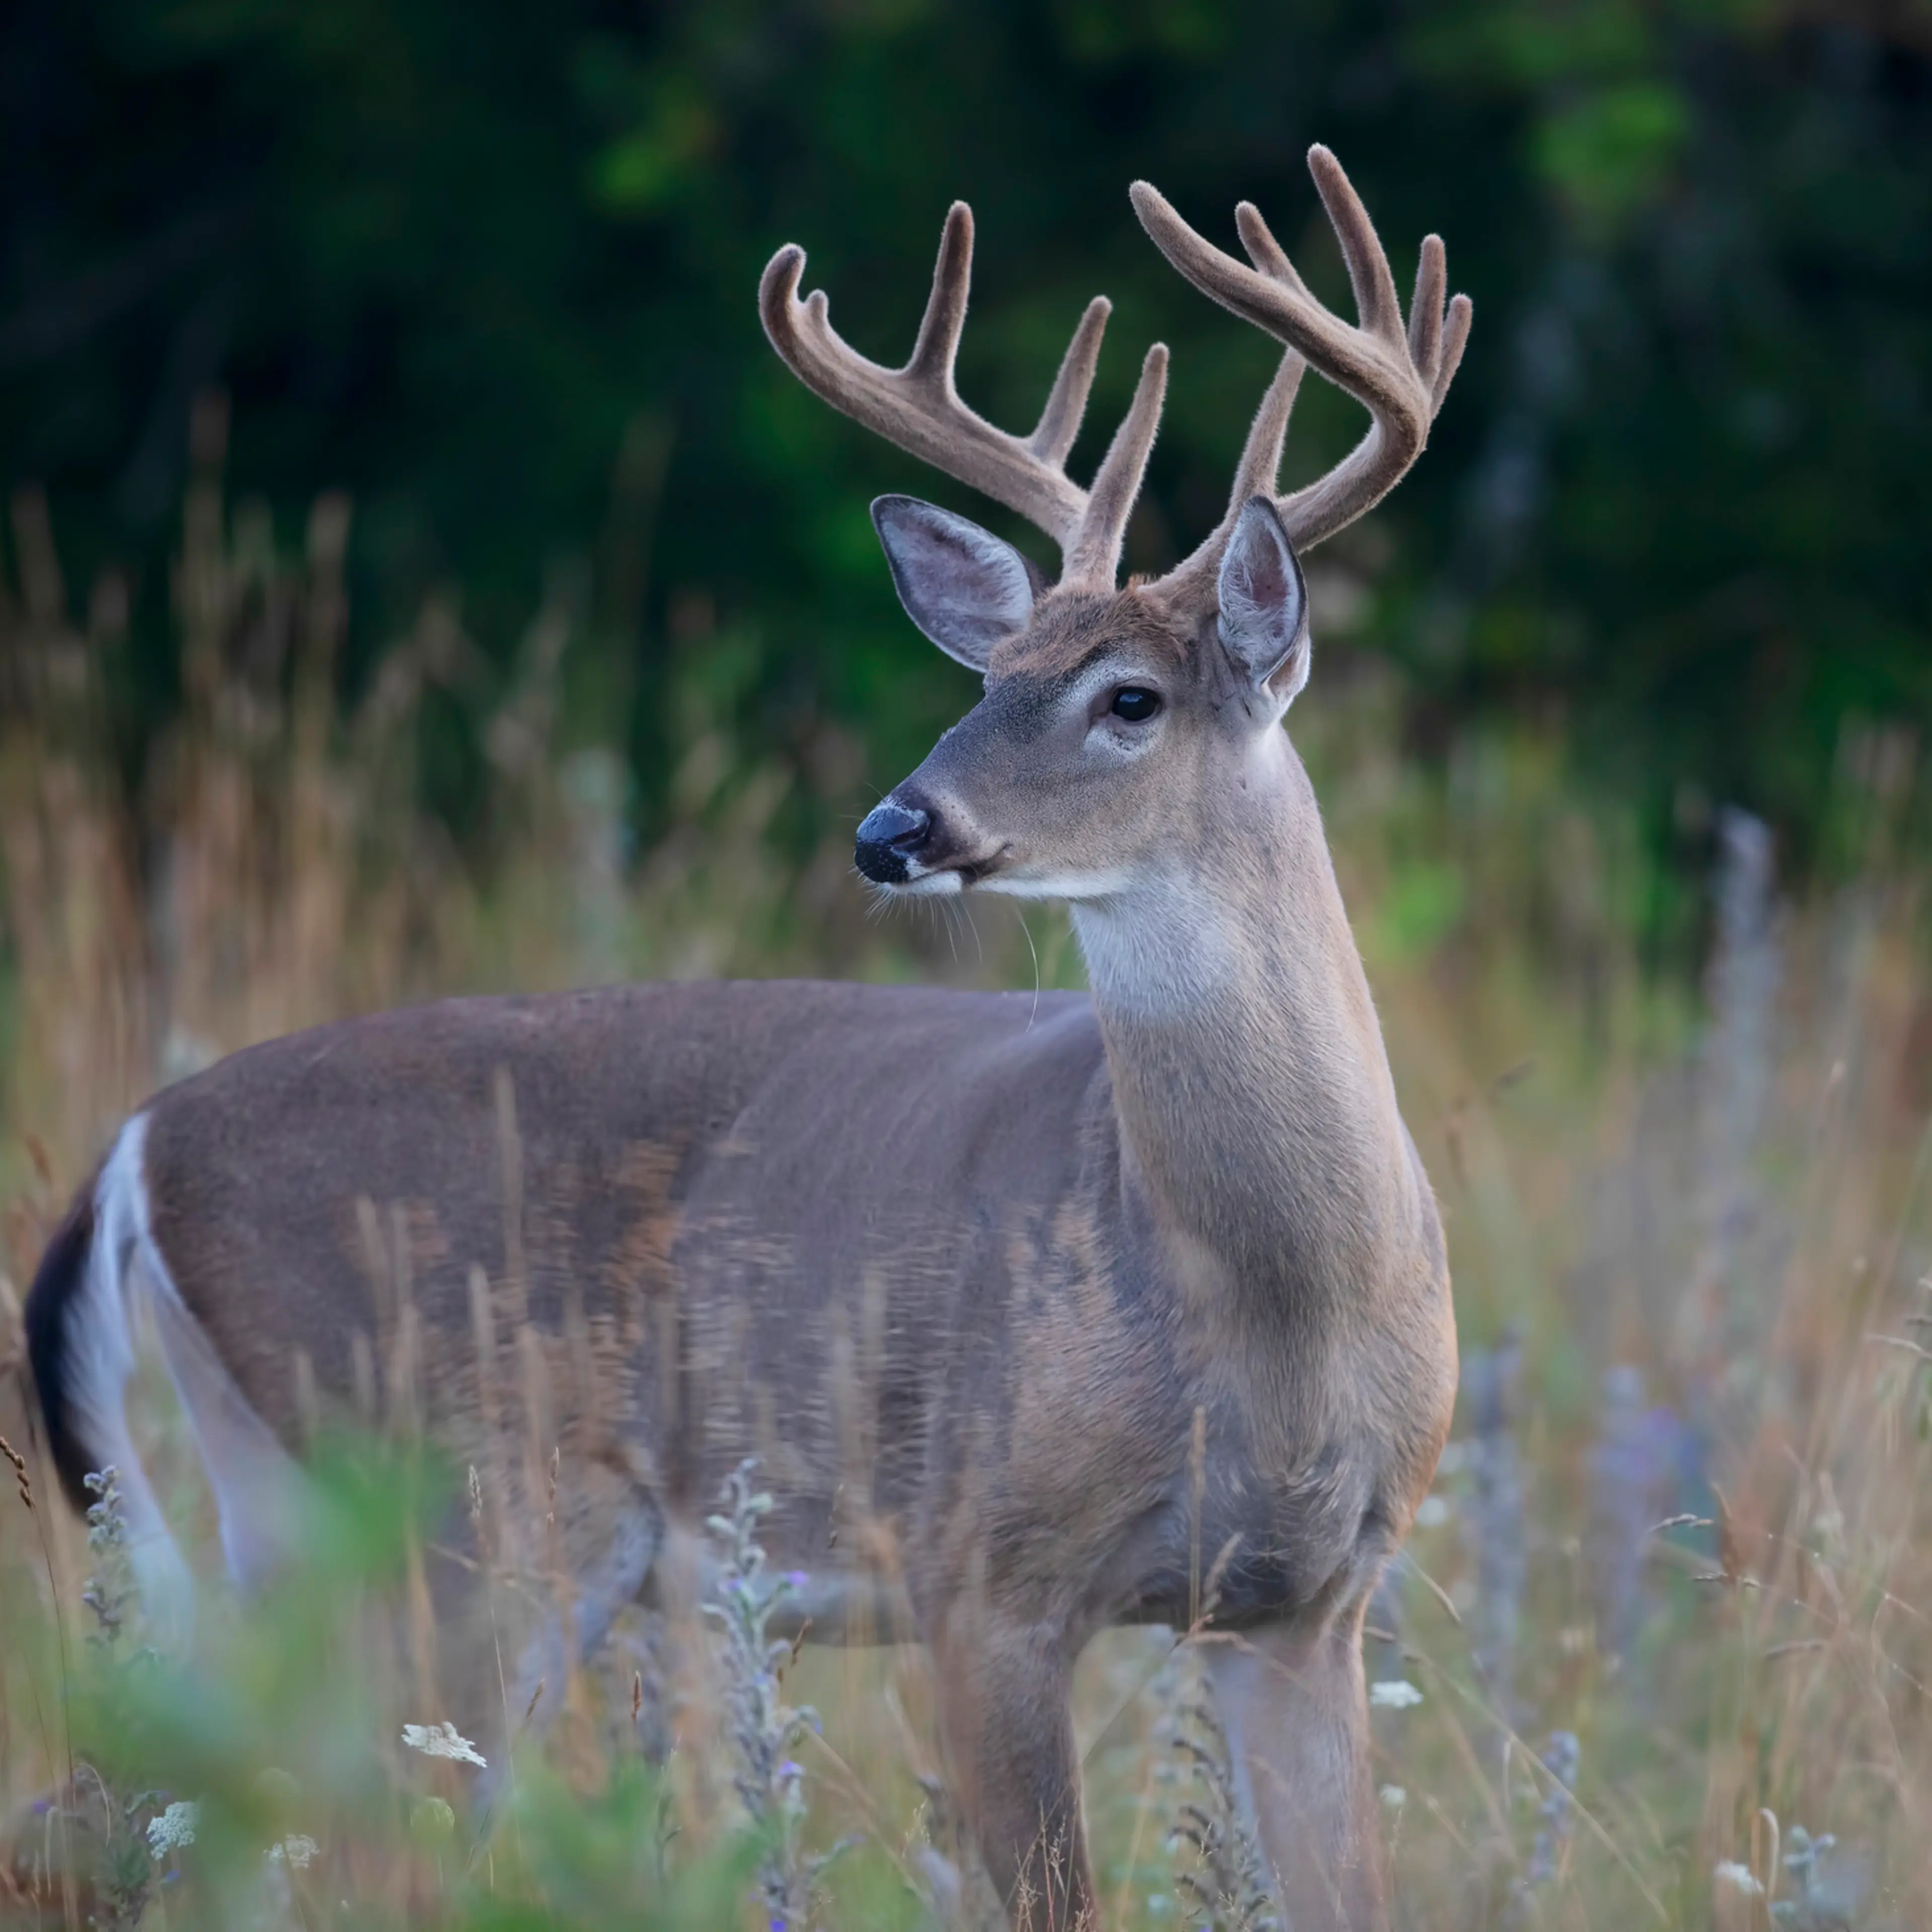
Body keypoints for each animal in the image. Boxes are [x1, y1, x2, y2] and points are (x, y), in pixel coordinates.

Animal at [23, 145, 1468, 1929]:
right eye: (984, 676)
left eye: (1127, 697)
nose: (890, 829)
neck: (1264, 1302)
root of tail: (133, 1146)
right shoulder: (977, 1566)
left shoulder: (1306, 1601)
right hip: (451, 1513)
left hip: (294, 1513)